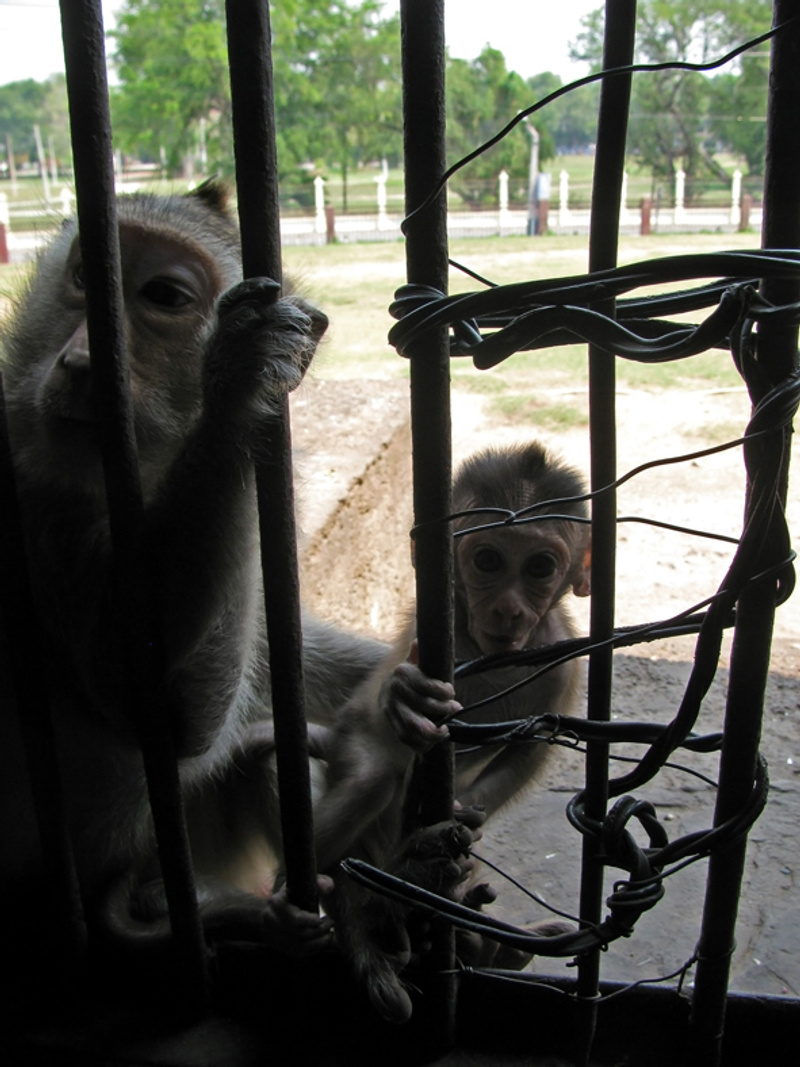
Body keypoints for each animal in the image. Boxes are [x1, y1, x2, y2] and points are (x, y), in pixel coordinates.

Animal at [0, 180, 392, 978]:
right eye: (85, 276)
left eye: (162, 296)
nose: (81, 362)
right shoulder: (38, 499)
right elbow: (155, 712)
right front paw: (240, 382)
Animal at [309, 441, 590, 1021]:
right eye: (487, 561)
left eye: (540, 567)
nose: (508, 608)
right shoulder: (434, 628)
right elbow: (384, 692)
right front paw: (404, 694)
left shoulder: (563, 662)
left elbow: (530, 748)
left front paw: (468, 816)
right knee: (370, 777)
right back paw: (358, 913)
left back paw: (478, 937)